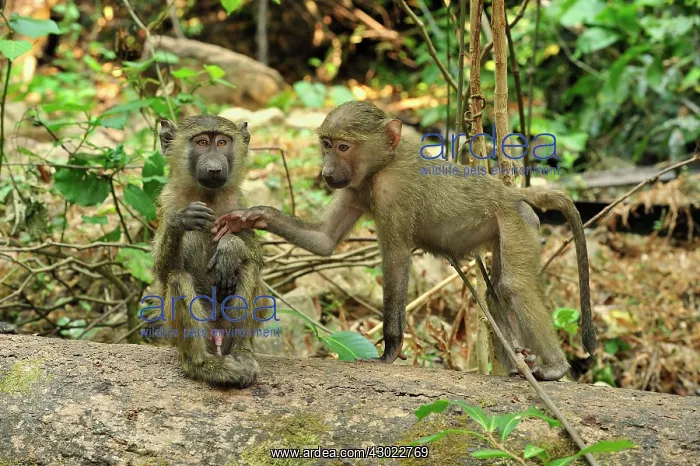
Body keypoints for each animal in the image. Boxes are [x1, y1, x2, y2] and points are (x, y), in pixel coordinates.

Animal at [151, 115, 267, 388]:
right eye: (202, 142)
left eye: (222, 142)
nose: (214, 168)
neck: (207, 195)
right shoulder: (168, 203)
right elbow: (164, 271)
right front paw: (182, 221)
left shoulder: (240, 205)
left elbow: (255, 256)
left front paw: (230, 248)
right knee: (178, 278)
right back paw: (202, 364)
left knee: (248, 267)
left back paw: (242, 353)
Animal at [213, 101, 596, 381]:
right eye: (326, 145)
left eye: (343, 146)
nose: (326, 173)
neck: (383, 164)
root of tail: (513, 194)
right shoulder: (355, 188)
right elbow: (324, 241)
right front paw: (251, 216)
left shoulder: (391, 192)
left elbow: (396, 258)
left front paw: (390, 351)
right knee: (495, 292)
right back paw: (517, 366)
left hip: (516, 223)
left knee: (512, 287)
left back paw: (554, 367)